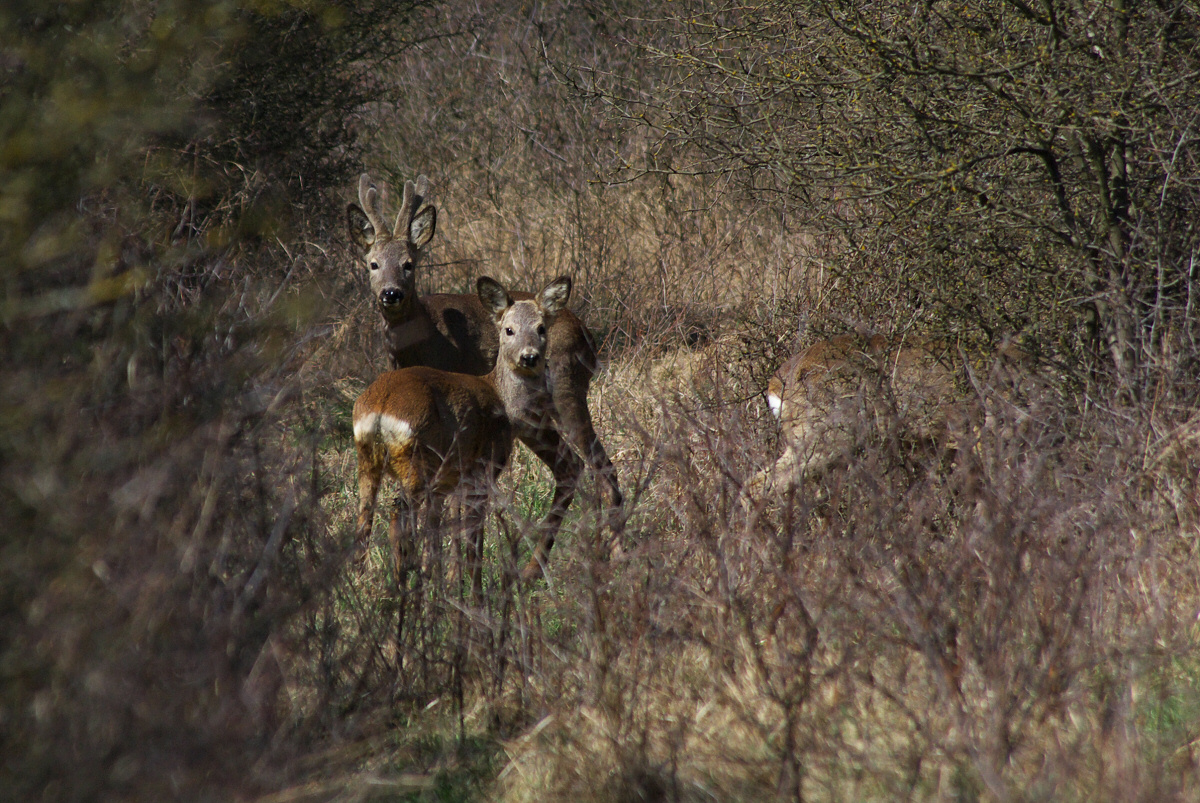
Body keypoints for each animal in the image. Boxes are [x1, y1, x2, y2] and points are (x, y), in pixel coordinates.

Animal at [352, 273, 568, 595]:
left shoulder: (450, 483)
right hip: (418, 460)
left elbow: (442, 532)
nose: (529, 357)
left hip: (368, 459)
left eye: (541, 328)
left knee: (364, 518)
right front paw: (471, 590)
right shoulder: (482, 470)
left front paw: (444, 583)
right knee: (397, 512)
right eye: (509, 330)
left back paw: (364, 584)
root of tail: (381, 406)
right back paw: (405, 582)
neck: (502, 399)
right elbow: (472, 537)